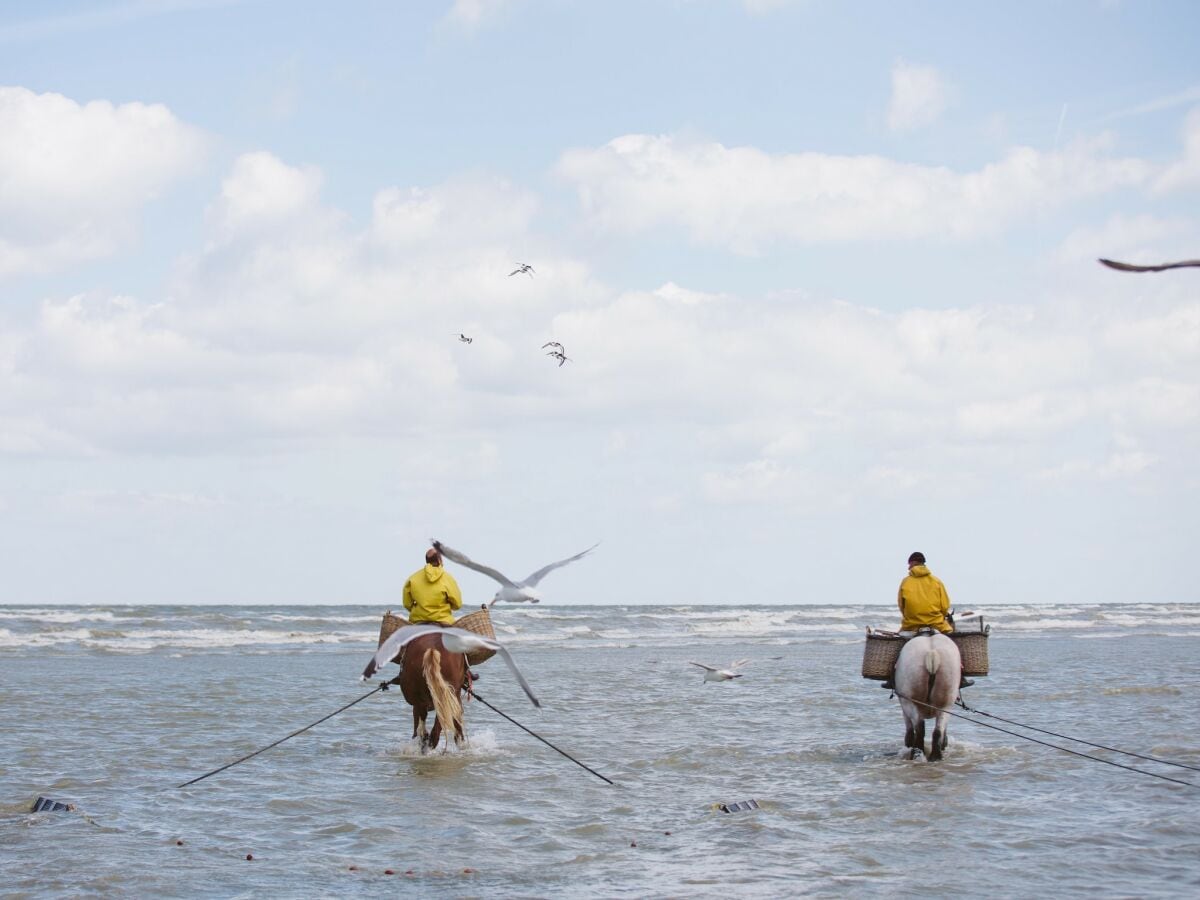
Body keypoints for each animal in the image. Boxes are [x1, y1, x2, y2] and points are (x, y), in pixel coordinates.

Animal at [897, 633, 960, 763]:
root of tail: (932, 652)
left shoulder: (904, 705)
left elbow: (909, 729)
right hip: (946, 702)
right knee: (938, 730)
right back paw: (935, 756)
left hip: (910, 701)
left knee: (920, 728)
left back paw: (916, 753)